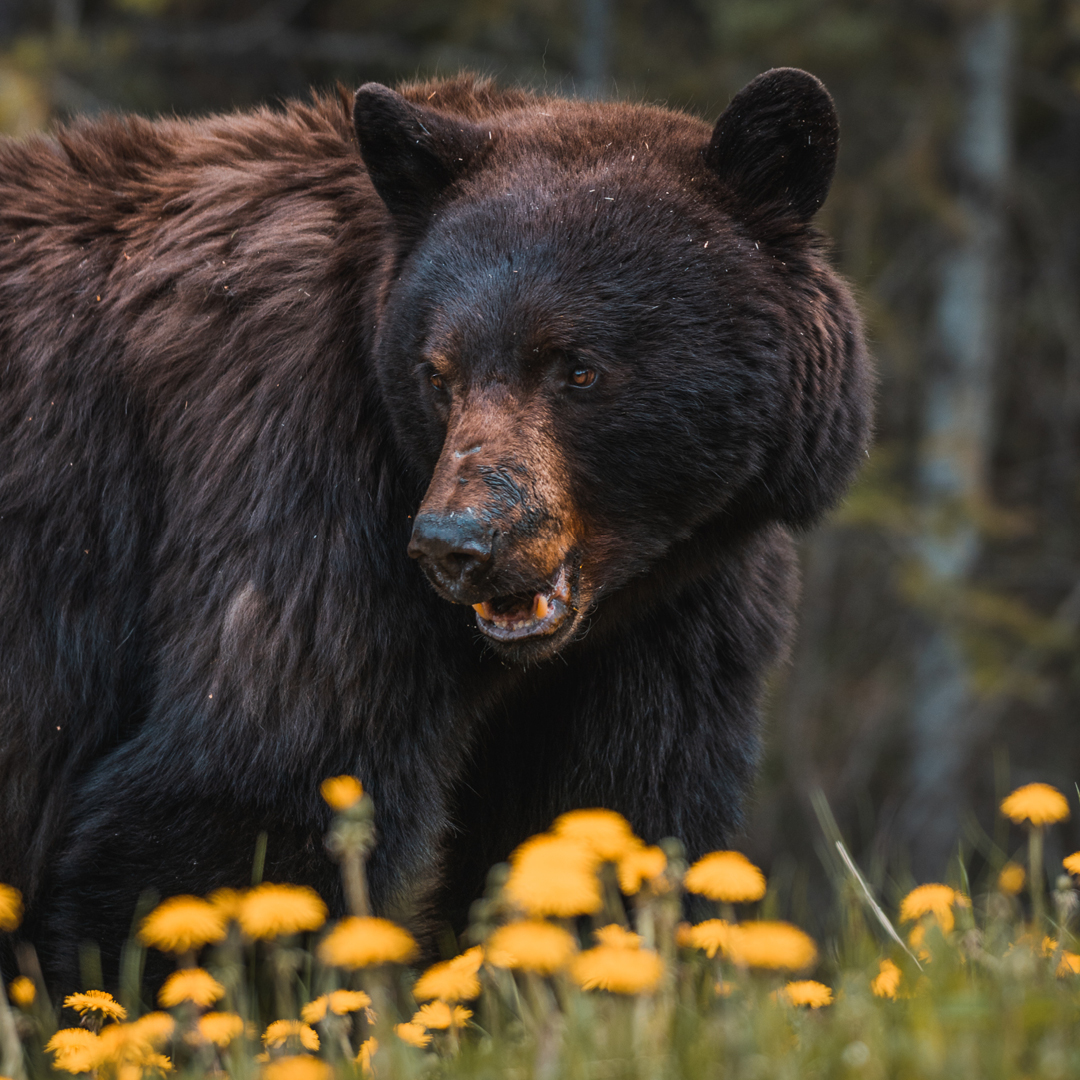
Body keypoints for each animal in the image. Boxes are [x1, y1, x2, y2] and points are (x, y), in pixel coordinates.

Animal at [0, 65, 868, 980]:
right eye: (439, 372)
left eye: (578, 368)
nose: (457, 544)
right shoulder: (301, 489)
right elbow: (250, 785)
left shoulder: (681, 600)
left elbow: (613, 801)